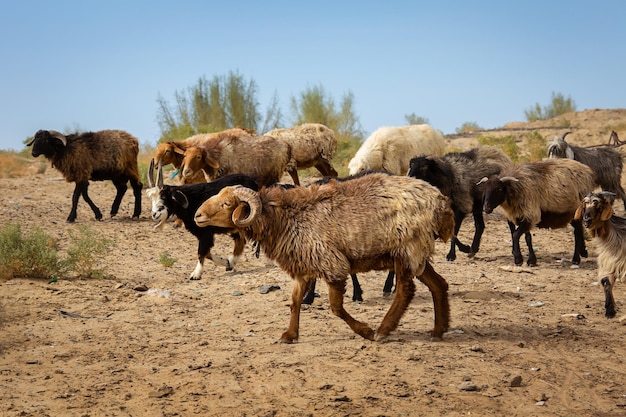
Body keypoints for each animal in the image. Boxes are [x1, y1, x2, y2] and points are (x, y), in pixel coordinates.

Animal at [193, 171, 450, 342]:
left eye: (227, 203)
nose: (197, 216)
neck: (285, 217)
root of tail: (440, 201)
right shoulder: (302, 266)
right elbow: (295, 302)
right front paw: (290, 335)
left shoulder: (332, 265)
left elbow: (335, 308)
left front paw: (364, 331)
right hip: (415, 251)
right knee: (439, 284)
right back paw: (439, 331)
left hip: (407, 248)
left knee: (406, 291)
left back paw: (382, 331)